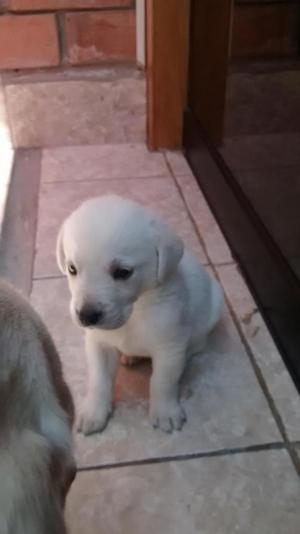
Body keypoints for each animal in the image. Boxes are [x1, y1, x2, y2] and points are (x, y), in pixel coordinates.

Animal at [57, 196, 224, 436]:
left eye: (123, 272)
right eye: (72, 269)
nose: (86, 316)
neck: (135, 312)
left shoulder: (169, 346)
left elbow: (162, 381)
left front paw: (165, 412)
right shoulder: (98, 344)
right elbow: (99, 380)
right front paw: (94, 412)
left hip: (214, 305)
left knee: (198, 344)